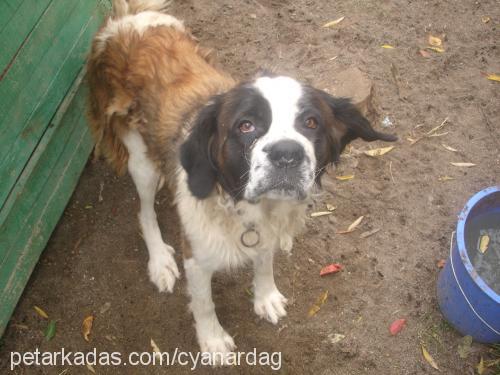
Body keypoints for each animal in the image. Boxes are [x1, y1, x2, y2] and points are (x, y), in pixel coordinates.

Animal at [87, 0, 398, 364]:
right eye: (245, 125)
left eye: (311, 123)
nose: (287, 154)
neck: (243, 205)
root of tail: (127, 21)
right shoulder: (196, 256)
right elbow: (204, 303)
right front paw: (213, 340)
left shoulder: (265, 233)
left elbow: (264, 263)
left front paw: (265, 297)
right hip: (141, 159)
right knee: (145, 211)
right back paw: (160, 260)